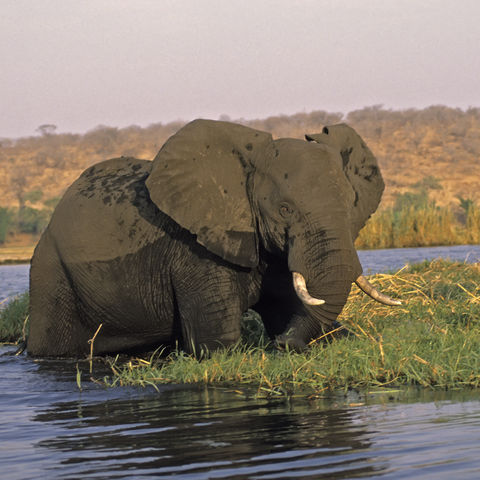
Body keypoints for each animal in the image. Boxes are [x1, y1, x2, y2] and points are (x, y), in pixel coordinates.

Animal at [27, 119, 402, 356]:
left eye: (351, 203)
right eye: (284, 209)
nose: (284, 345)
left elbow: (285, 306)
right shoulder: (195, 250)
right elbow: (217, 344)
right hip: (50, 273)